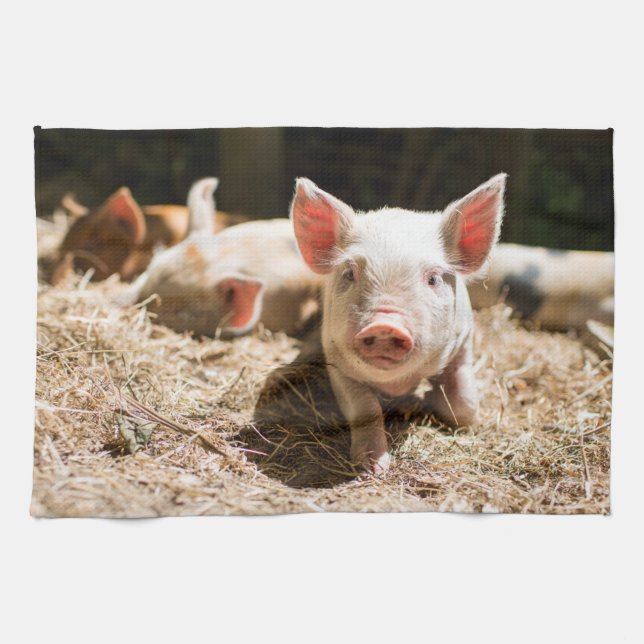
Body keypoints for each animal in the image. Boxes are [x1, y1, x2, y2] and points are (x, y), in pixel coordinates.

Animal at [290, 174, 507, 474]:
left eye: (434, 279)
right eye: (349, 273)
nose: (385, 325)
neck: (396, 384)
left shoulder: (464, 341)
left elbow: (464, 404)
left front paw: (436, 404)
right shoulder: (336, 360)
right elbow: (366, 408)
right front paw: (372, 469)